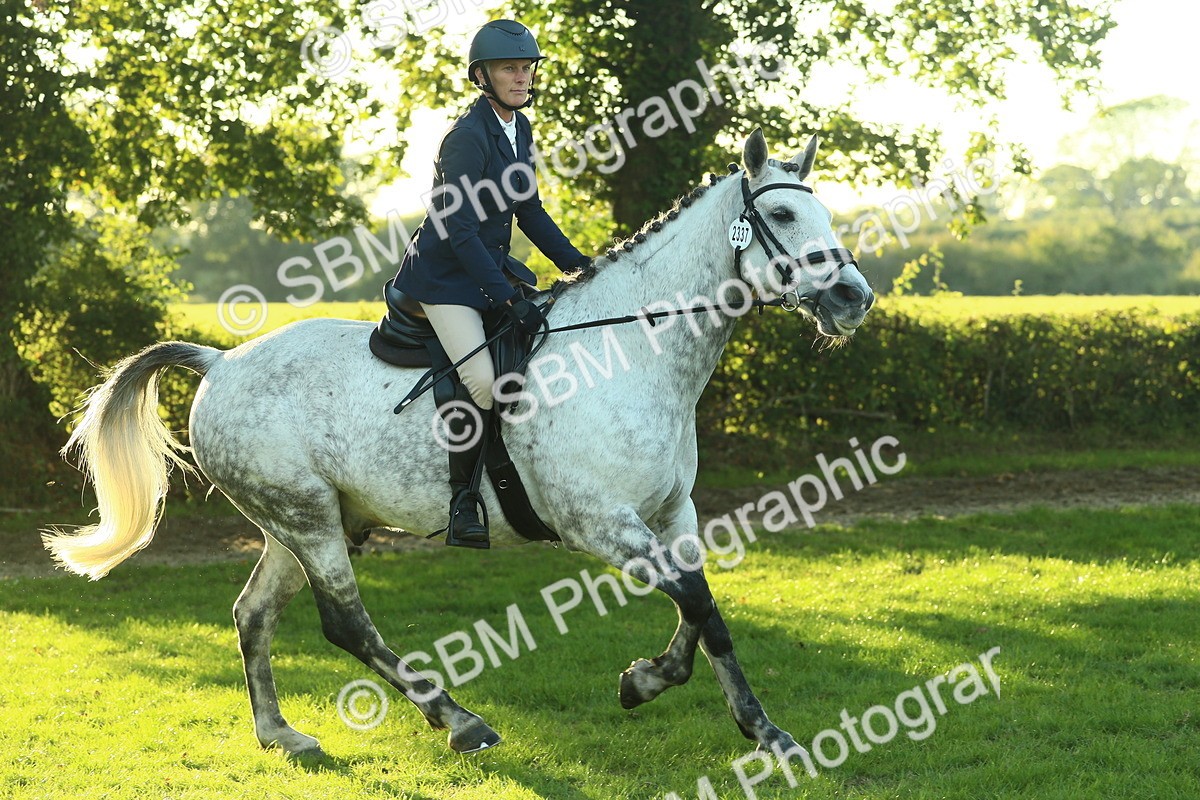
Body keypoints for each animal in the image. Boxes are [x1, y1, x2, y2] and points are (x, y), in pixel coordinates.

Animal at [43, 129, 875, 758]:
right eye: (782, 214)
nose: (852, 298)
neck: (635, 350)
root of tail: (220, 362)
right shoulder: (599, 523)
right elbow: (699, 604)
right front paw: (714, 710)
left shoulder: (673, 516)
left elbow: (702, 612)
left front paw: (706, 706)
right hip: (306, 519)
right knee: (345, 624)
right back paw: (460, 721)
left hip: (299, 520)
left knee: (254, 614)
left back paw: (282, 734)